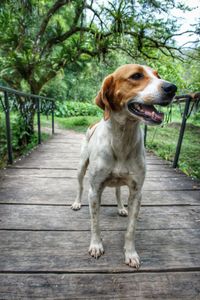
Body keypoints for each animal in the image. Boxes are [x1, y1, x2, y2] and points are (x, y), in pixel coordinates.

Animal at [70, 63, 177, 270]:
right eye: (136, 76)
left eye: (158, 75)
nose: (172, 88)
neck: (122, 138)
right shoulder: (94, 190)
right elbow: (95, 223)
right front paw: (96, 245)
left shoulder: (136, 192)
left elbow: (131, 229)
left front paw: (130, 253)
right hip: (81, 167)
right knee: (79, 186)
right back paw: (77, 202)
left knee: (118, 192)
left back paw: (121, 208)